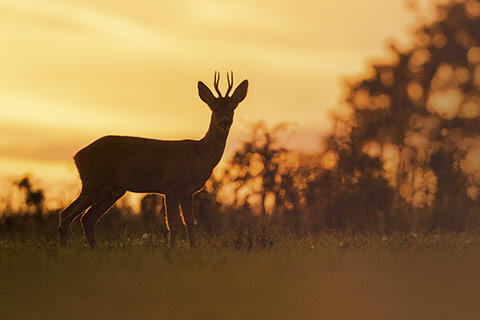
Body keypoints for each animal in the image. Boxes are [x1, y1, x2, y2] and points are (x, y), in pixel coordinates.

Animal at [58, 71, 249, 249]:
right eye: (214, 108)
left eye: (233, 107)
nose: (224, 122)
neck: (199, 154)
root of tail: (76, 156)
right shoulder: (171, 186)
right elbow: (173, 224)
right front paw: (171, 250)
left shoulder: (187, 192)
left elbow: (190, 223)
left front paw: (193, 250)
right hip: (94, 183)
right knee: (67, 214)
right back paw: (64, 250)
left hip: (113, 189)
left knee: (87, 218)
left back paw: (96, 250)